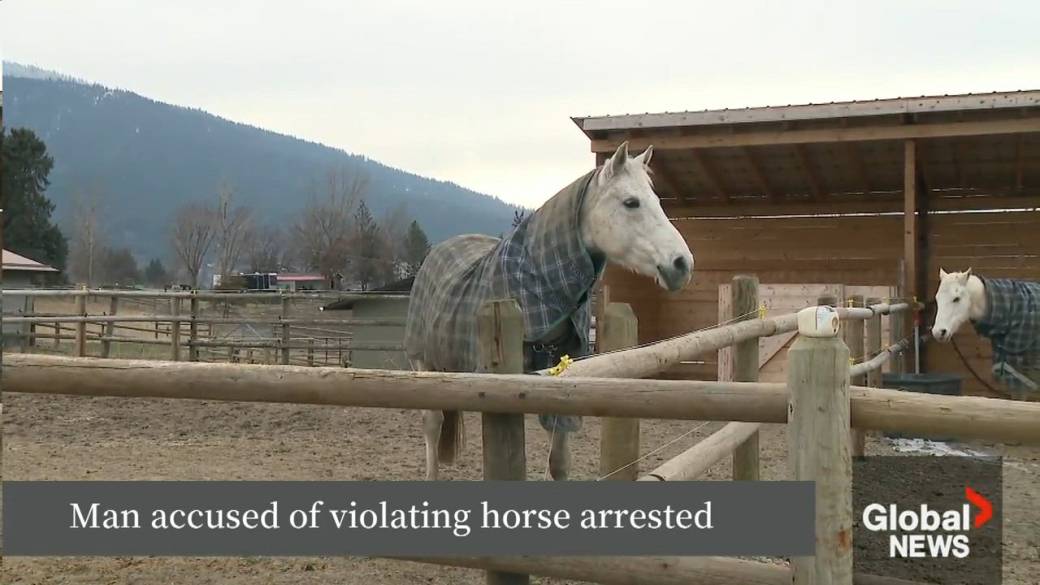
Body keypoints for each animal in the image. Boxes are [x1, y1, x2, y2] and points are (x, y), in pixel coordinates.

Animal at [404, 142, 694, 480]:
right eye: (631, 202)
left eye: (657, 201)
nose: (682, 264)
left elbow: (559, 462)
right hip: (424, 363)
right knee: (433, 424)